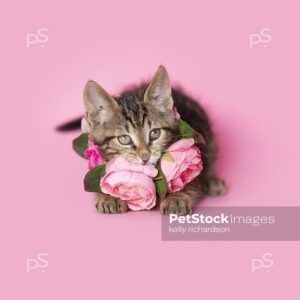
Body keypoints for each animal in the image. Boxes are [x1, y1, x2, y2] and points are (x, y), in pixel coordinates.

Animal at [57, 67, 226, 214]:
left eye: (155, 133)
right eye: (124, 139)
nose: (145, 156)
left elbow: (190, 181)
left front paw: (176, 199)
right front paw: (110, 197)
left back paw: (212, 181)